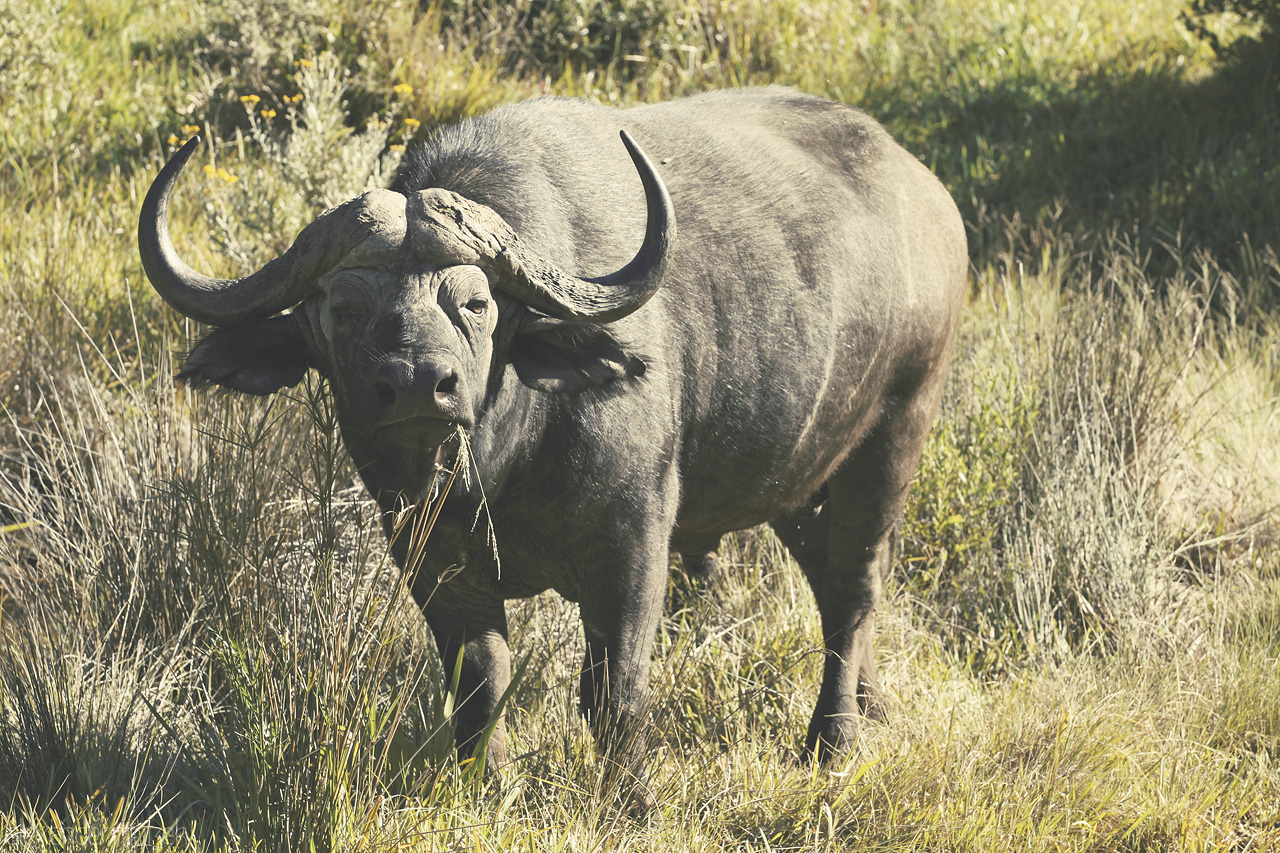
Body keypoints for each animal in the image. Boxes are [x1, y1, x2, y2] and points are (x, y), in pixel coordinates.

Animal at [137, 86, 962, 804]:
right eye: (344, 307)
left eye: (475, 302)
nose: (418, 384)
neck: (499, 474)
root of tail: (928, 195)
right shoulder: (431, 558)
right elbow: (481, 683)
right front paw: (489, 784)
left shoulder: (632, 544)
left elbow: (612, 692)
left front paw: (631, 799)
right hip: (799, 480)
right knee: (833, 582)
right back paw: (870, 702)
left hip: (893, 435)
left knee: (854, 586)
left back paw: (832, 739)